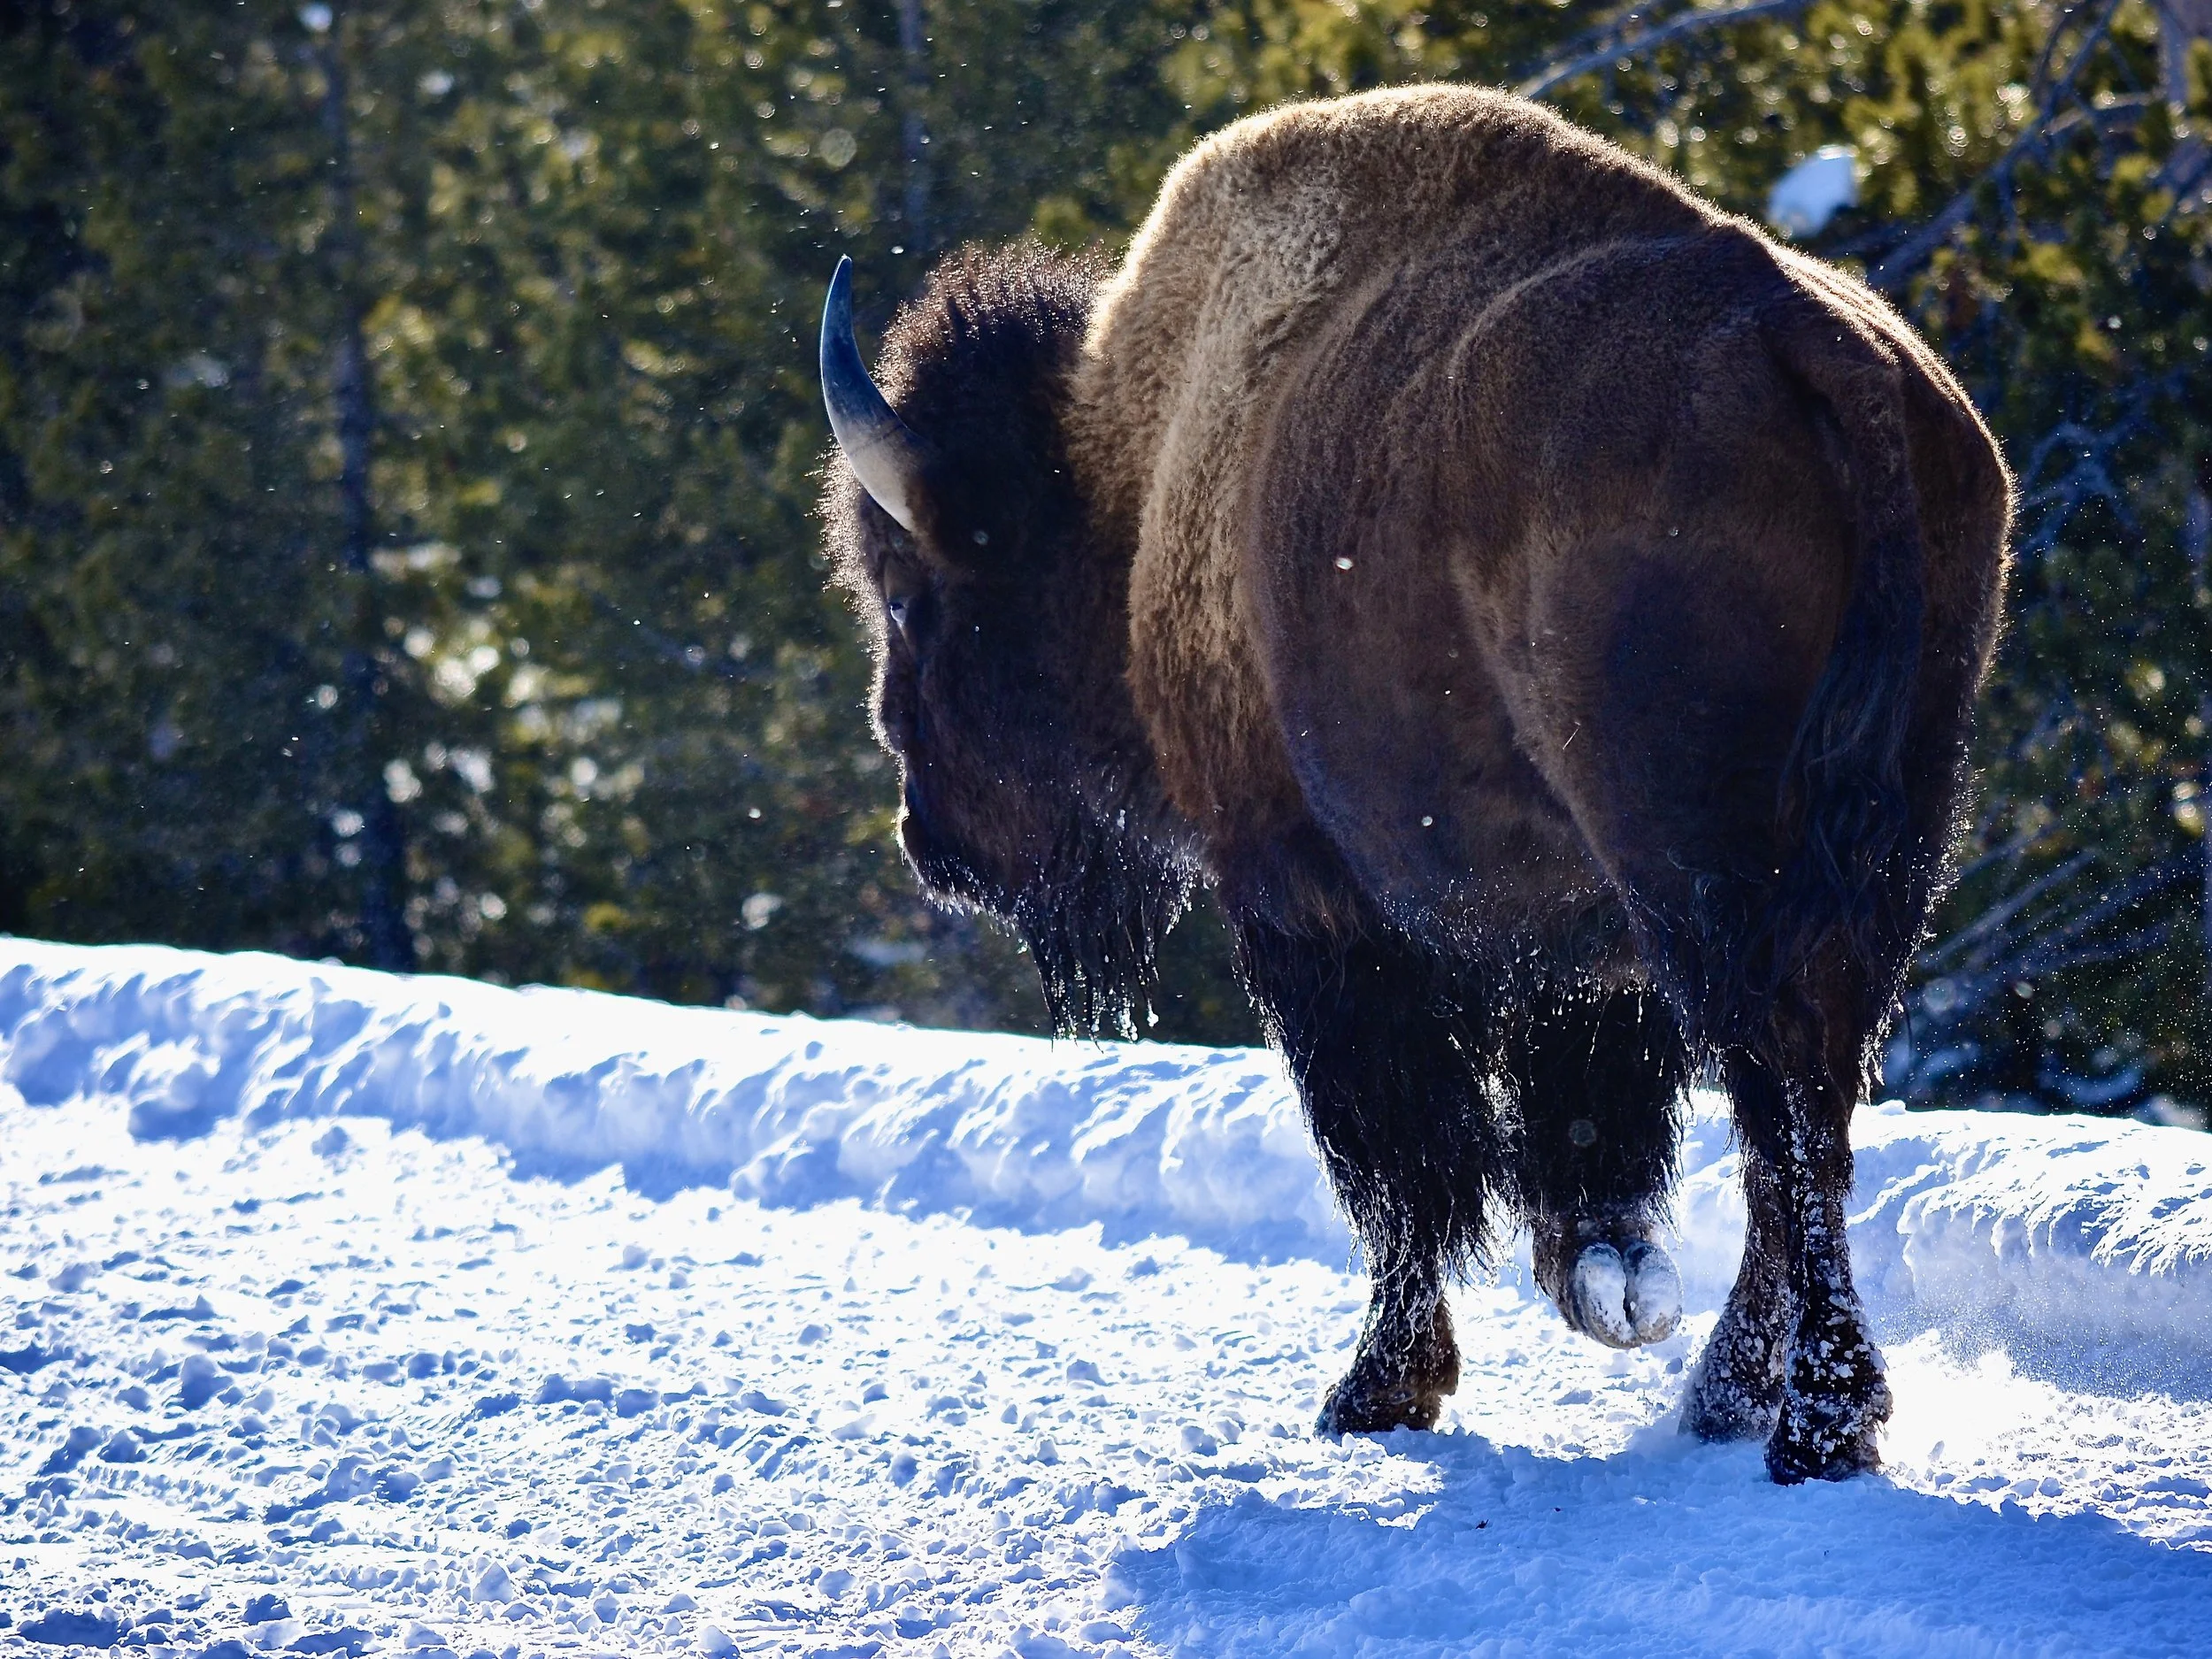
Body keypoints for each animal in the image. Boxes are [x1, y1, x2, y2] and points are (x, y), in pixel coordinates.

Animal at [818, 86, 2011, 1484]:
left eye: (910, 597)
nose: (928, 836)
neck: (1133, 478)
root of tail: (1823, 351)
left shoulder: (1306, 904)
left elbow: (1395, 1161)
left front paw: (1382, 1385)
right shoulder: (1572, 947)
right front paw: (1607, 1284)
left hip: (1701, 864)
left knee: (1780, 1091)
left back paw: (1813, 1423)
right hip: (1881, 846)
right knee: (1814, 1105)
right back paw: (1732, 1394)